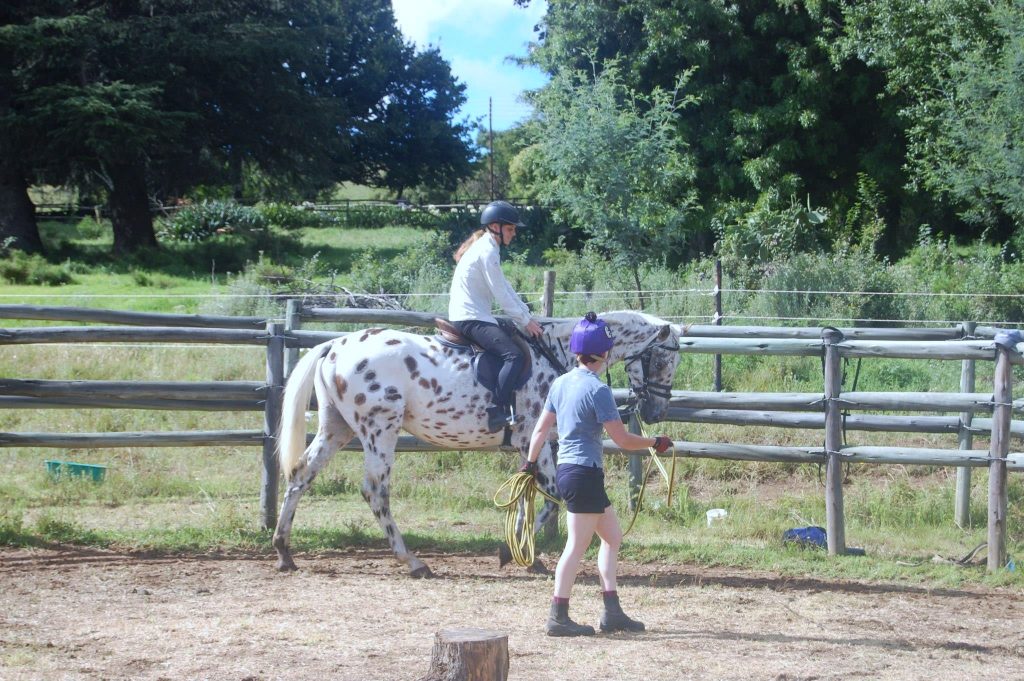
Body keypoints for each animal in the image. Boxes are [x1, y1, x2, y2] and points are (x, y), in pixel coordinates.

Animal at [276, 311, 684, 577]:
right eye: (662, 359)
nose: (656, 411)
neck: (557, 352)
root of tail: (334, 345)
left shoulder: (533, 443)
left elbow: (527, 493)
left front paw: (526, 555)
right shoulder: (532, 435)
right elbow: (549, 495)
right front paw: (510, 552)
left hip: (336, 428)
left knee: (300, 475)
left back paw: (284, 552)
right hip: (380, 430)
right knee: (375, 491)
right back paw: (413, 562)